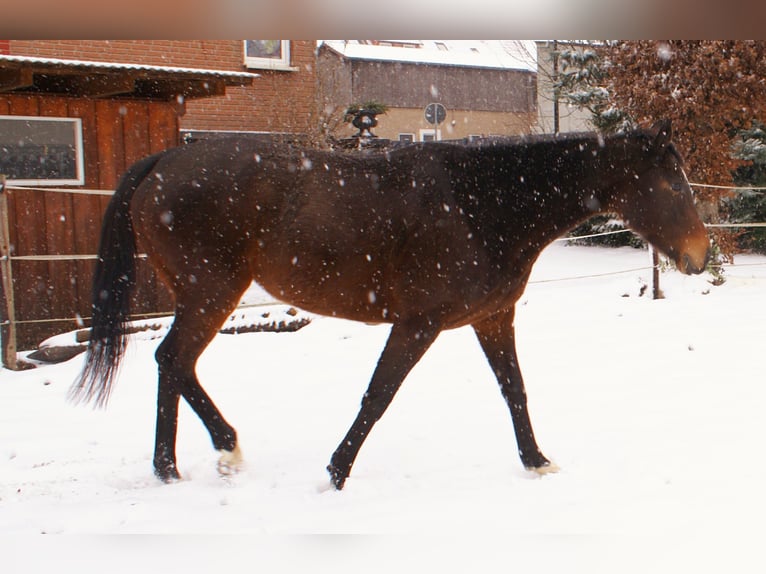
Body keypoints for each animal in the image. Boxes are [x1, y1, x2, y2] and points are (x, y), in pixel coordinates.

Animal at [70, 120, 710, 490]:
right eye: (671, 182)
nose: (701, 256)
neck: (485, 204)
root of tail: (161, 163)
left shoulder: (491, 318)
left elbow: (515, 390)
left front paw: (536, 461)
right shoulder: (418, 323)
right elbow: (379, 394)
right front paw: (336, 472)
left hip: (206, 296)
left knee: (174, 364)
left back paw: (192, 460)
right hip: (211, 293)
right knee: (173, 360)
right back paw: (199, 457)